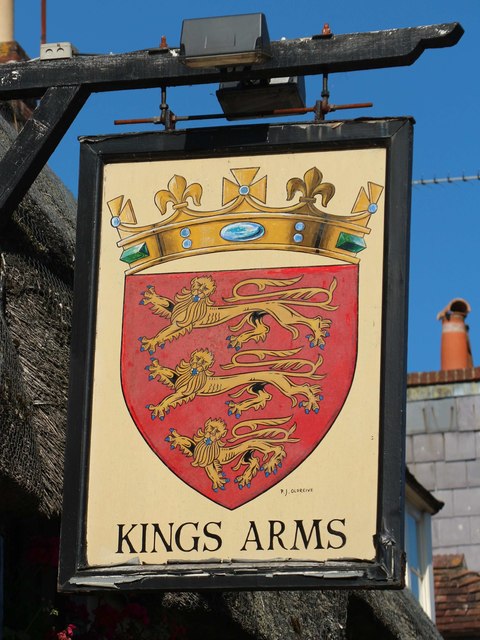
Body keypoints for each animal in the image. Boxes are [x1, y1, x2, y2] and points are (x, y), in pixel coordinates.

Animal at [137, 276, 336, 356]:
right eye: (198, 286)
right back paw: (238, 339)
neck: (194, 301)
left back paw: (317, 333)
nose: (198, 293)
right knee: (263, 329)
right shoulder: (179, 315)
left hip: (285, 317)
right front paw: (152, 297)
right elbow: (166, 305)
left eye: (205, 289)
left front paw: (152, 341)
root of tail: (275, 300)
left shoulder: (184, 323)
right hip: (255, 317)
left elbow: (164, 332)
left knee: (310, 320)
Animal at [146, 344, 324, 420]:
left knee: (305, 387)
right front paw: (157, 369)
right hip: (256, 387)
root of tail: (275, 371)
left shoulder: (187, 391)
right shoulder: (183, 382)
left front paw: (159, 407)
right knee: (264, 397)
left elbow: (171, 398)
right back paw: (239, 406)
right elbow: (171, 375)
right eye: (196, 360)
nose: (196, 366)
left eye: (203, 363)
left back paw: (311, 402)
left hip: (284, 387)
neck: (194, 374)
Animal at [166, 418, 300, 492]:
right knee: (255, 460)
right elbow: (188, 442)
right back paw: (245, 477)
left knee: (277, 449)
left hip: (258, 447)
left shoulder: (210, 460)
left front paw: (218, 481)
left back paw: (269, 465)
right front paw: (176, 438)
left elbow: (212, 471)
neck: (209, 444)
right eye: (210, 428)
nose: (211, 435)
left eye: (217, 431)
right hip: (247, 456)